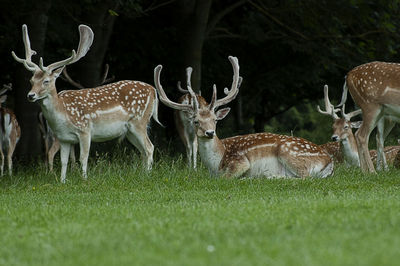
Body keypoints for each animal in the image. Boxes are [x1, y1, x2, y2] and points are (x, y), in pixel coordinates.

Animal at [12, 24, 162, 183]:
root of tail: (153, 91)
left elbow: (83, 158)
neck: (62, 114)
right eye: (31, 81)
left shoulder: (85, 130)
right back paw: (142, 174)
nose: (30, 95)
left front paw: (84, 180)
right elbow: (64, 161)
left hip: (139, 122)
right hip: (129, 131)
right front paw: (62, 181)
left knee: (149, 147)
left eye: (46, 81)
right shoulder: (64, 138)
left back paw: (147, 176)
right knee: (143, 150)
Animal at [155, 56, 332, 179]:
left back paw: (268, 176)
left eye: (215, 120)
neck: (215, 165)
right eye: (196, 121)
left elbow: (226, 178)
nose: (210, 133)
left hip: (288, 152)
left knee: (305, 177)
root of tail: (329, 161)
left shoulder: (240, 162)